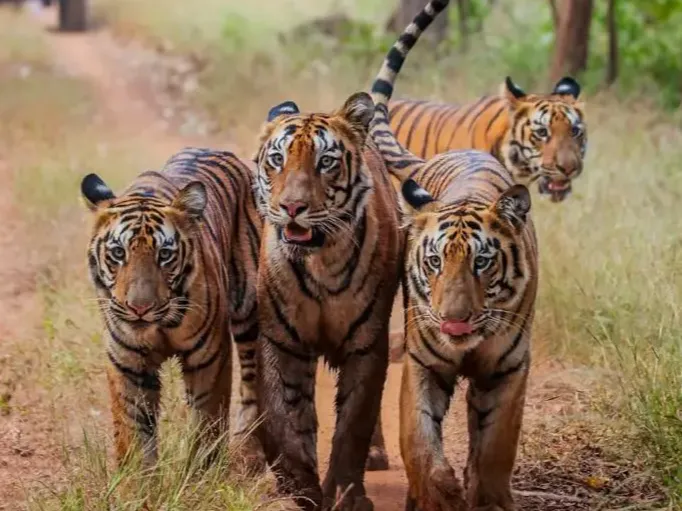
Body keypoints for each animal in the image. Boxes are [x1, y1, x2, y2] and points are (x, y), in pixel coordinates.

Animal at [80, 148, 263, 468]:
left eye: (164, 255)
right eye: (118, 253)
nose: (139, 308)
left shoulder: (209, 356)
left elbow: (207, 420)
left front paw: (202, 472)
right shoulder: (127, 361)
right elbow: (133, 431)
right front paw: (136, 480)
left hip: (248, 314)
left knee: (252, 384)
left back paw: (248, 452)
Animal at [367, 4, 538, 510]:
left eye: (482, 263)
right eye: (434, 263)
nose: (455, 320)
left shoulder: (508, 369)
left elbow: (497, 446)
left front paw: (488, 496)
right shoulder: (424, 363)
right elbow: (420, 439)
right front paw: (439, 494)